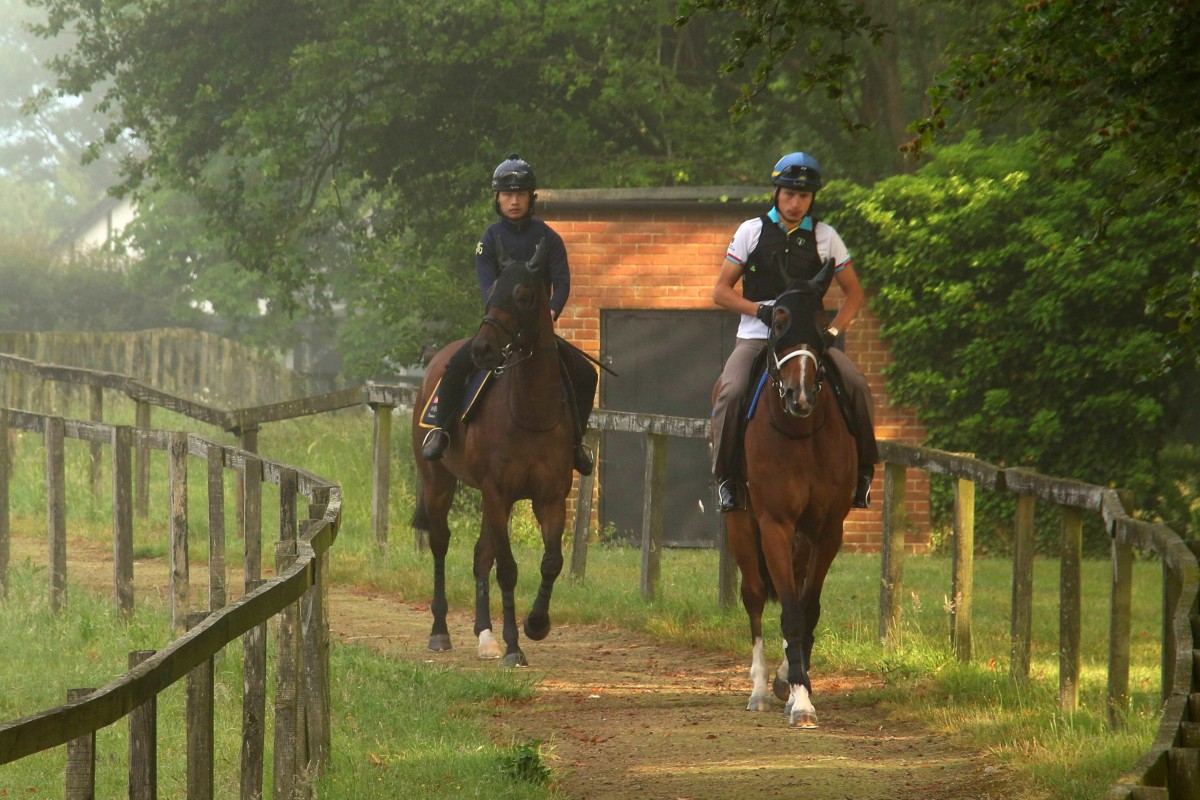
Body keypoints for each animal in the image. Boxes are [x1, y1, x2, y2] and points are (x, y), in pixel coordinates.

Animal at [410, 237, 573, 671]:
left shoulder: (549, 498)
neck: (530, 414)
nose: (483, 348)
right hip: (439, 484)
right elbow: (508, 570)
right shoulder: (499, 495)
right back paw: (440, 631)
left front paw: (536, 624)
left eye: (524, 295)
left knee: (481, 554)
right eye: (492, 293)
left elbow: (550, 561)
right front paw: (515, 646)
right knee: (441, 543)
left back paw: (485, 636)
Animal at [720, 261, 854, 724]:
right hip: (742, 527)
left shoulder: (827, 529)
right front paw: (800, 700)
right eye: (777, 320)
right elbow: (791, 611)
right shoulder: (774, 525)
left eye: (821, 321)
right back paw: (760, 689)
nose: (801, 396)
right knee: (755, 597)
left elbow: (807, 607)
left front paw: (796, 684)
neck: (801, 432)